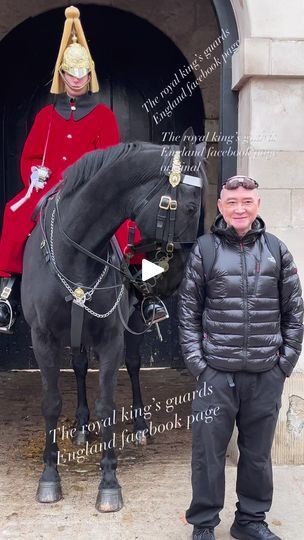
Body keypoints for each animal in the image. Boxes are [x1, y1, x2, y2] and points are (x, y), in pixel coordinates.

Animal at [20, 130, 207, 510]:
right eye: (191, 207)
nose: (178, 275)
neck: (74, 252)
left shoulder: (111, 339)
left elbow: (107, 405)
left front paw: (108, 481)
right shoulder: (42, 338)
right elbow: (51, 402)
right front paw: (49, 476)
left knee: (133, 366)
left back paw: (139, 426)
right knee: (78, 367)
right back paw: (80, 426)